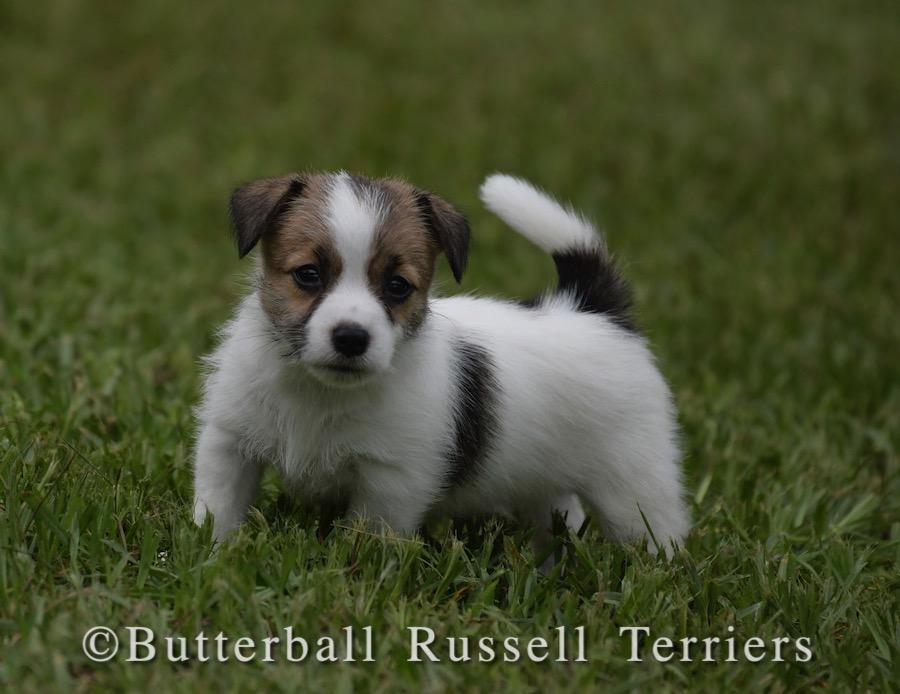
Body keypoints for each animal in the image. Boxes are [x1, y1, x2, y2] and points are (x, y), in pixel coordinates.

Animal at [192, 171, 690, 558]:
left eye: (397, 286)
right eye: (308, 274)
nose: (351, 338)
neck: (322, 391)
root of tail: (591, 310)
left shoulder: (391, 482)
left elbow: (367, 535)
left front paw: (352, 572)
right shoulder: (229, 442)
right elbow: (219, 504)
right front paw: (213, 553)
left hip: (634, 483)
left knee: (655, 529)